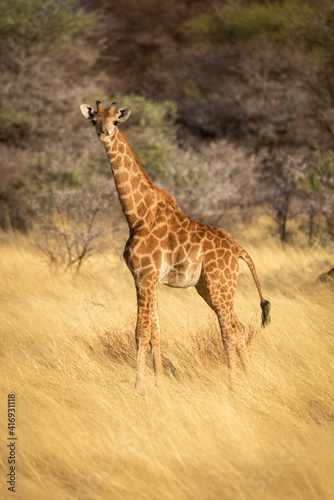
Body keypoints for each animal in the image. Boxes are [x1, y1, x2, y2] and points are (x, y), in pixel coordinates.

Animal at [81, 100, 272, 390]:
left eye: (115, 121)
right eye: (94, 120)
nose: (103, 133)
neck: (137, 215)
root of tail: (238, 250)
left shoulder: (145, 276)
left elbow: (141, 332)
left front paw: (138, 387)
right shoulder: (148, 280)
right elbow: (156, 332)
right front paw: (159, 384)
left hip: (220, 285)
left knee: (229, 328)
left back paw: (233, 384)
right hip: (207, 287)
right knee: (238, 327)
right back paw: (248, 380)